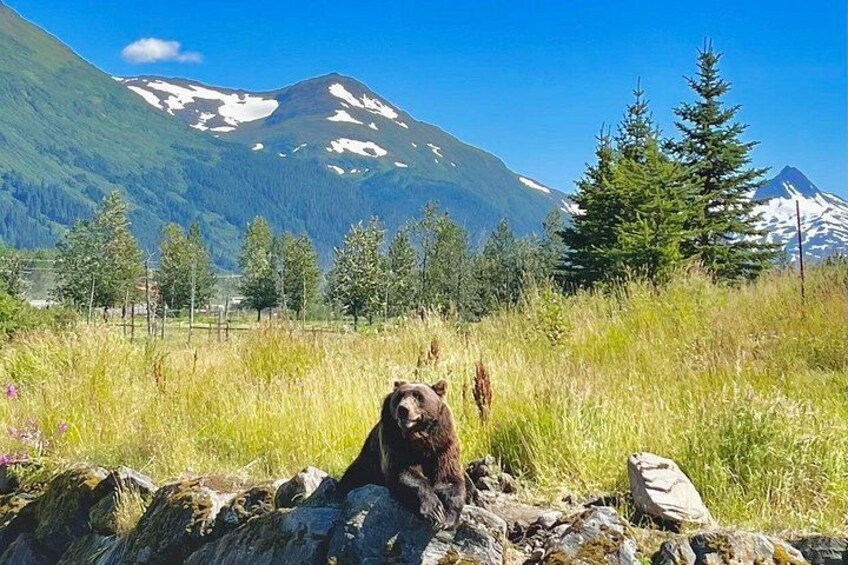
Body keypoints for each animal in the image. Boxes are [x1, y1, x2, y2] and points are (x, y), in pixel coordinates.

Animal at [337, 379, 466, 530]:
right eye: (400, 396)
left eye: (418, 396)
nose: (403, 409)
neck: (418, 439)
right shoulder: (393, 440)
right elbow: (403, 472)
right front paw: (434, 510)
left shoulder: (443, 444)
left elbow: (449, 477)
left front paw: (448, 518)